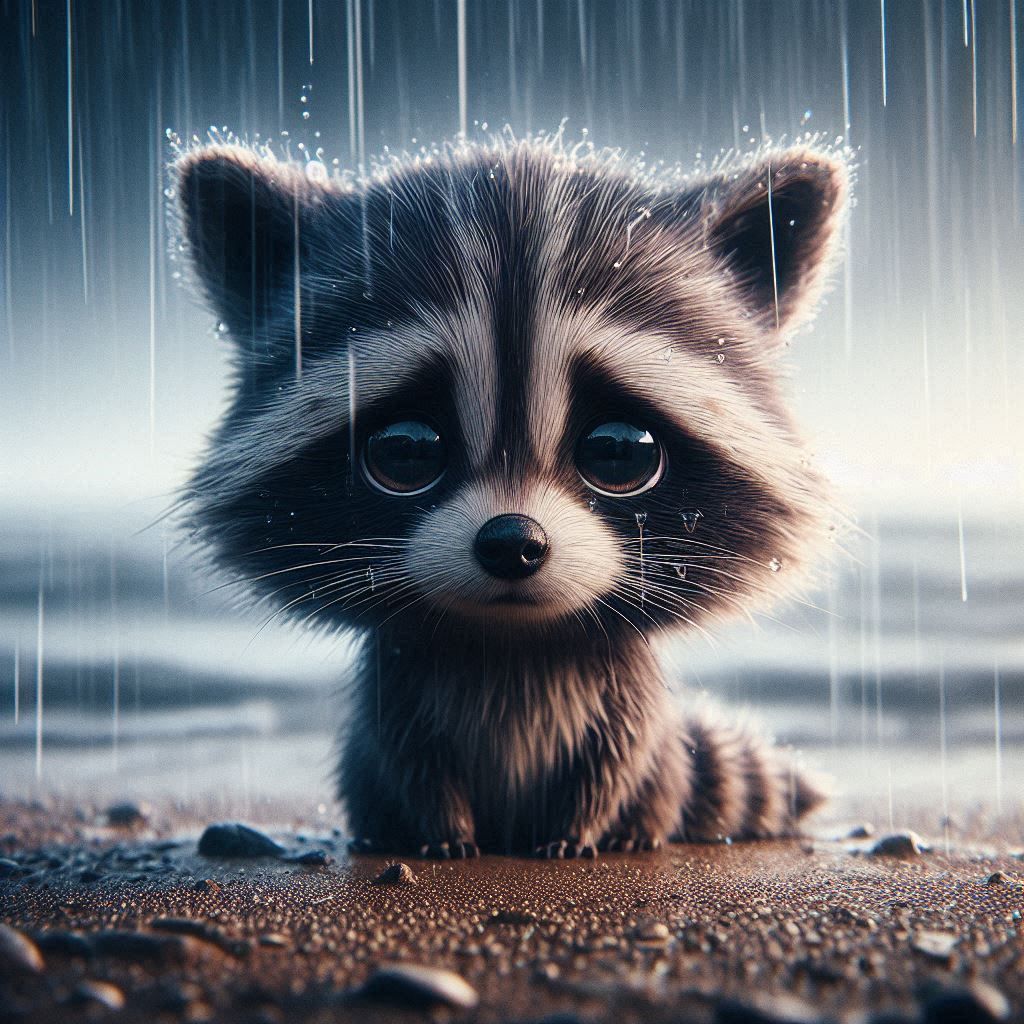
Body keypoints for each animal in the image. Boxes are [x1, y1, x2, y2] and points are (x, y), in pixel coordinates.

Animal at [175, 135, 848, 858]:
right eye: (405, 451)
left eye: (618, 452)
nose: (512, 542)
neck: (510, 642)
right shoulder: (398, 684)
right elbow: (411, 759)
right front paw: (443, 832)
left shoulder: (623, 694)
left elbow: (614, 757)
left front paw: (580, 828)